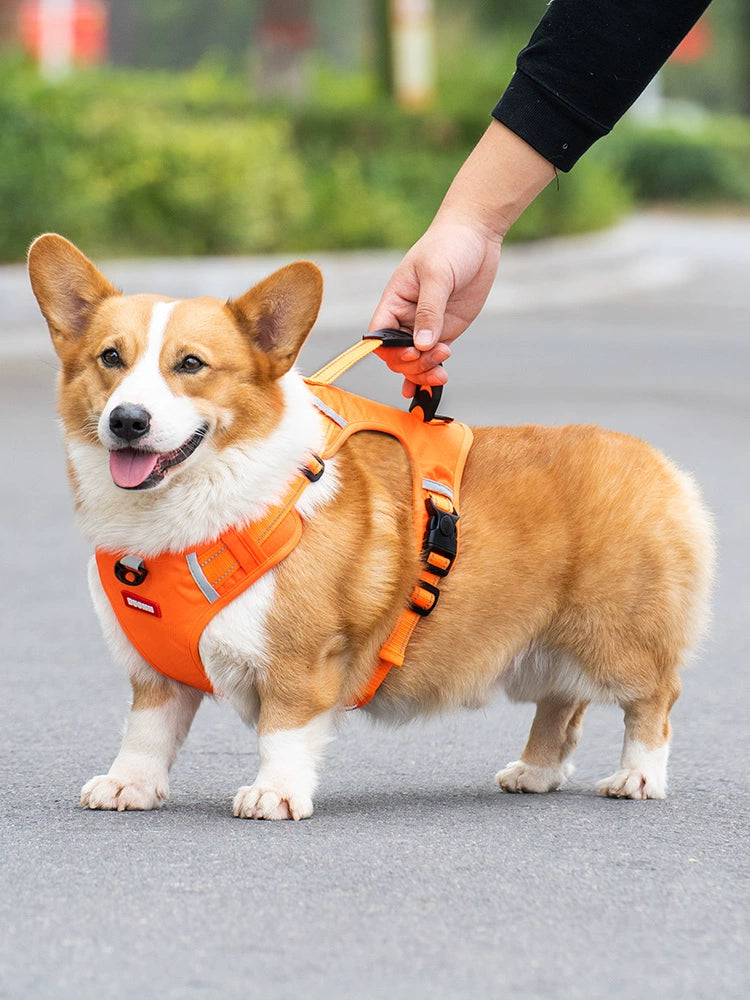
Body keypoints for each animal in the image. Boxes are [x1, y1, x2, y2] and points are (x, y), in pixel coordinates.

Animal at [26, 234, 712, 820]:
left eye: (190, 364)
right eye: (110, 358)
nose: (128, 421)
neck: (186, 519)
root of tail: (660, 464)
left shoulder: (301, 660)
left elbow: (283, 733)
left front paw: (274, 795)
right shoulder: (155, 675)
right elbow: (146, 733)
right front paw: (128, 786)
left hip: (617, 638)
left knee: (655, 698)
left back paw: (638, 777)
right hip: (545, 646)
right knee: (561, 703)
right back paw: (536, 772)